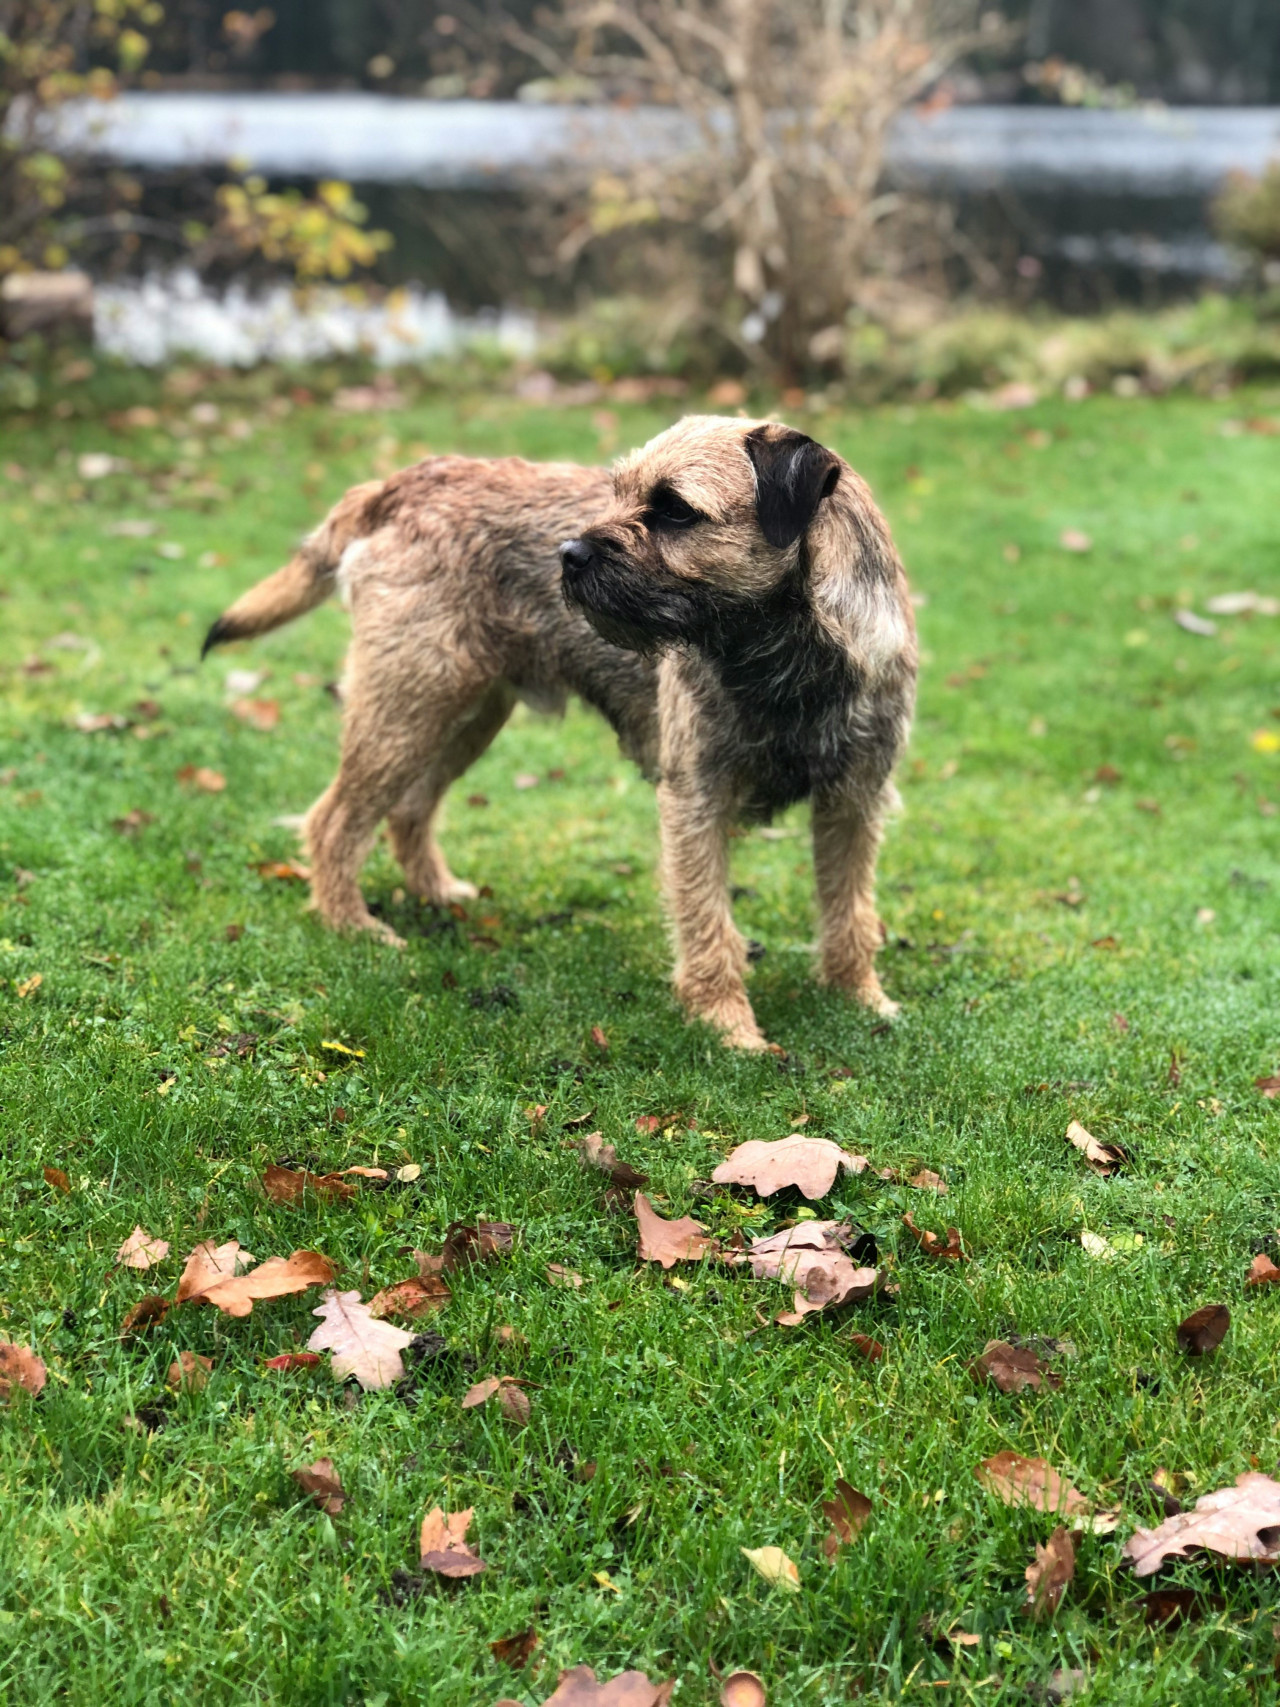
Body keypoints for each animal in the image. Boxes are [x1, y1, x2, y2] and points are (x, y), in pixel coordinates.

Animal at [205, 416, 914, 1051]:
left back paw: (436, 893)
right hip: (409, 702)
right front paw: (728, 1028)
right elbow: (708, 923)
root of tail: (403, 480)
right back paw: (353, 926)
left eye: (675, 511)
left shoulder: (855, 802)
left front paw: (860, 1000)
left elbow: (850, 911)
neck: (783, 659)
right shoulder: (696, 801)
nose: (568, 555)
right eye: (618, 490)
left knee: (409, 808)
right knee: (335, 819)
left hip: (463, 714)